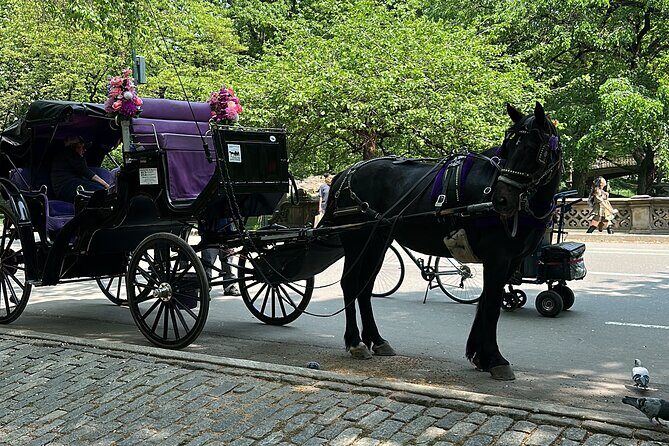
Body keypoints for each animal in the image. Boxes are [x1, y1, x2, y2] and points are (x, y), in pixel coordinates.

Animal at [321, 102, 562, 380]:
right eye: (509, 146)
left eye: (534, 148)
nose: (501, 199)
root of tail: (347, 173)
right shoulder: (497, 258)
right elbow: (491, 305)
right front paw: (495, 358)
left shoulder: (511, 260)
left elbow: (486, 302)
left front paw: (479, 355)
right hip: (357, 241)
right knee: (350, 284)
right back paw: (354, 342)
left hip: (377, 241)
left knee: (365, 286)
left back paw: (376, 339)